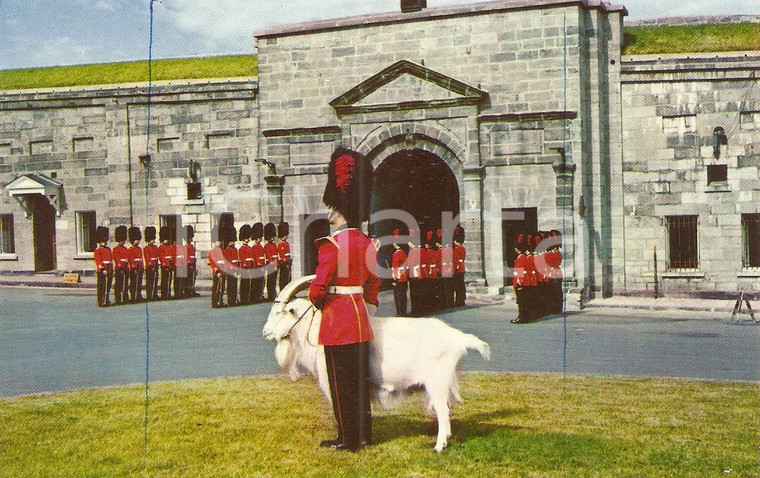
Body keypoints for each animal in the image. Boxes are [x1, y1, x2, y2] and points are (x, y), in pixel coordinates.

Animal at [262, 276, 492, 452]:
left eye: (283, 312)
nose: (266, 333)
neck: (318, 327)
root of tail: (457, 338)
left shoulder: (333, 380)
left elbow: (339, 409)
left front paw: (341, 443)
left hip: (436, 381)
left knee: (443, 411)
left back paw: (438, 447)